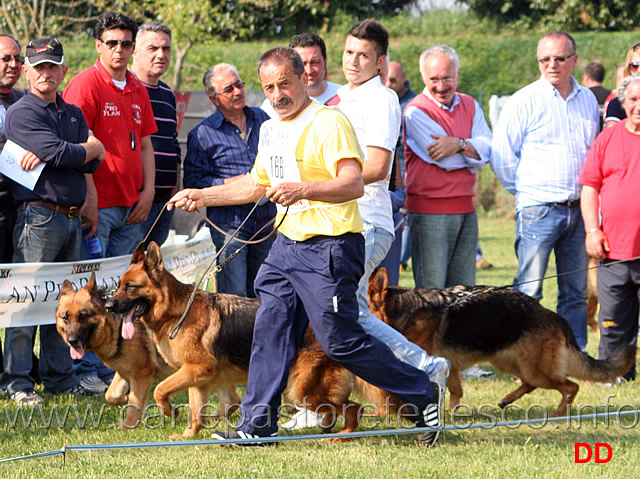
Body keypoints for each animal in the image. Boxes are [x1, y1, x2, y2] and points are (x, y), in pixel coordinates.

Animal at [55, 274, 239, 432]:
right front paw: (124, 399)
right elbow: (110, 395)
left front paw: (127, 426)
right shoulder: (124, 372)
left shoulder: (141, 374)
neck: (114, 326)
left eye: (83, 316)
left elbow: (134, 405)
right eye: (65, 318)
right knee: (233, 401)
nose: (72, 341)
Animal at [107, 244, 402, 438]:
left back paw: (340, 436)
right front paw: (189, 435)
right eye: (117, 285)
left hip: (300, 389)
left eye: (130, 287)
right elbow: (196, 410)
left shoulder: (196, 370)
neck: (177, 311)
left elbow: (160, 390)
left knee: (353, 407)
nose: (109, 306)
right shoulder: (198, 379)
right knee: (342, 407)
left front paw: (170, 413)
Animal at [364, 270, 636, 416]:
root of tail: (551, 314)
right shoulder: (451, 365)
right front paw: (452, 413)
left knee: (570, 386)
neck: (410, 314)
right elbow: (455, 392)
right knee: (530, 384)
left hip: (535, 369)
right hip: (510, 363)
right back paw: (507, 399)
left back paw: (558, 413)